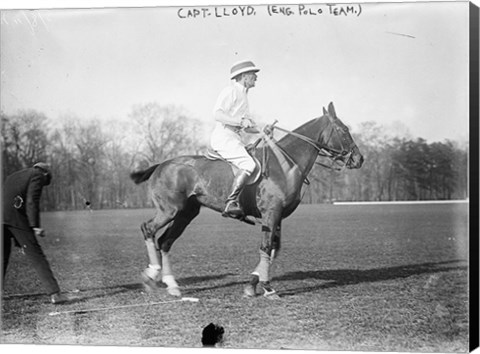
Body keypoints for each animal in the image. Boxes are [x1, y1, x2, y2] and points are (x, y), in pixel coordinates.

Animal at [129, 102, 362, 298]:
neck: (286, 164)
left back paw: (172, 285)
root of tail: (161, 165)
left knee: (165, 241)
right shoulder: (271, 213)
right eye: (343, 130)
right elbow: (266, 247)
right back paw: (152, 275)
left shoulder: (277, 216)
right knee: (148, 229)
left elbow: (274, 248)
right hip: (170, 210)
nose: (359, 159)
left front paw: (254, 285)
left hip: (187, 213)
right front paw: (266, 288)